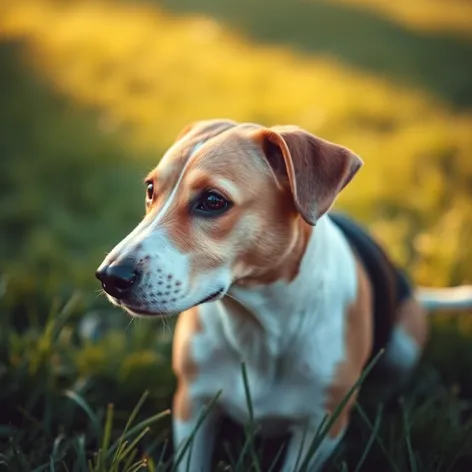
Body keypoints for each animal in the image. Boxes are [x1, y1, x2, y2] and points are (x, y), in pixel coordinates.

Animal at [96, 120, 472, 472]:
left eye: (213, 201)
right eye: (150, 189)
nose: (110, 277)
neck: (259, 323)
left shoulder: (320, 427)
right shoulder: (193, 403)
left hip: (405, 343)